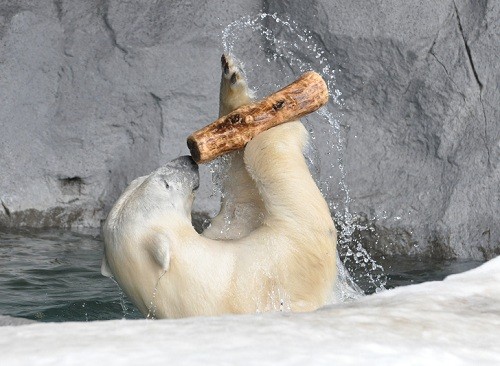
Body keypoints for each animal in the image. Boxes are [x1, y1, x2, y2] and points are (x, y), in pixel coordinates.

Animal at [100, 53, 336, 318]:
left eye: (139, 179)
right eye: (166, 184)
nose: (187, 159)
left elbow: (243, 199)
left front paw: (234, 87)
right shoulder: (259, 276)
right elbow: (304, 228)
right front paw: (273, 122)